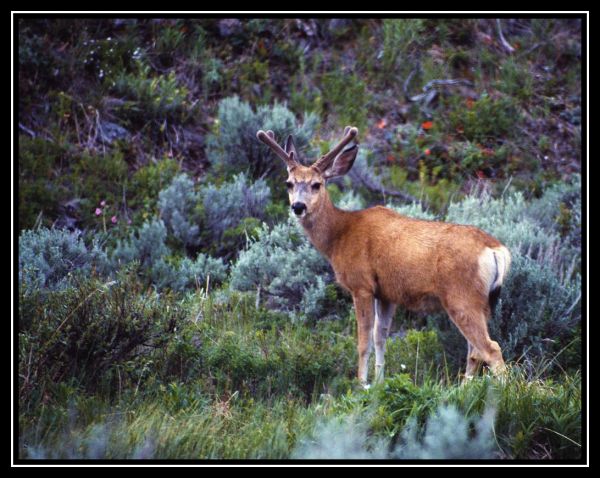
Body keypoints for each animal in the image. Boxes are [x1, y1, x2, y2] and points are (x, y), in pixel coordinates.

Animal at [254, 125, 510, 386]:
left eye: (317, 184)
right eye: (288, 183)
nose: (298, 206)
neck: (339, 236)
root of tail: (495, 250)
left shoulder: (361, 285)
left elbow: (363, 341)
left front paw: (361, 383)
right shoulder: (387, 293)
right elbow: (380, 337)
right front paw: (379, 381)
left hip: (462, 296)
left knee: (490, 349)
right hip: (480, 302)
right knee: (475, 352)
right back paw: (463, 389)